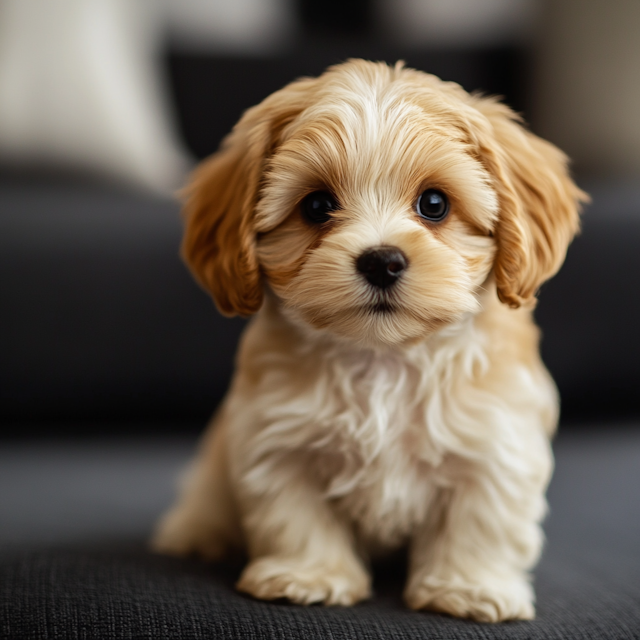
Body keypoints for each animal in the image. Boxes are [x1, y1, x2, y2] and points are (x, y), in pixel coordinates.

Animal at [154, 58, 584, 620]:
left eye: (434, 204)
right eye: (317, 206)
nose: (382, 260)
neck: (384, 358)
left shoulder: (495, 440)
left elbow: (481, 519)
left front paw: (467, 586)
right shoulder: (278, 439)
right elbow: (294, 514)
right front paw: (309, 575)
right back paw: (196, 533)